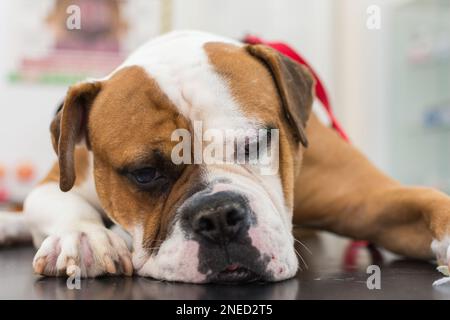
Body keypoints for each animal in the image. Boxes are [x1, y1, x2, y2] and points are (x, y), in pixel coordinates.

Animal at [0, 31, 450, 284]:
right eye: (144, 173)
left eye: (255, 142)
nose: (218, 216)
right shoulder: (62, 176)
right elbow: (55, 200)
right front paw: (83, 238)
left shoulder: (370, 200)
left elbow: (429, 201)